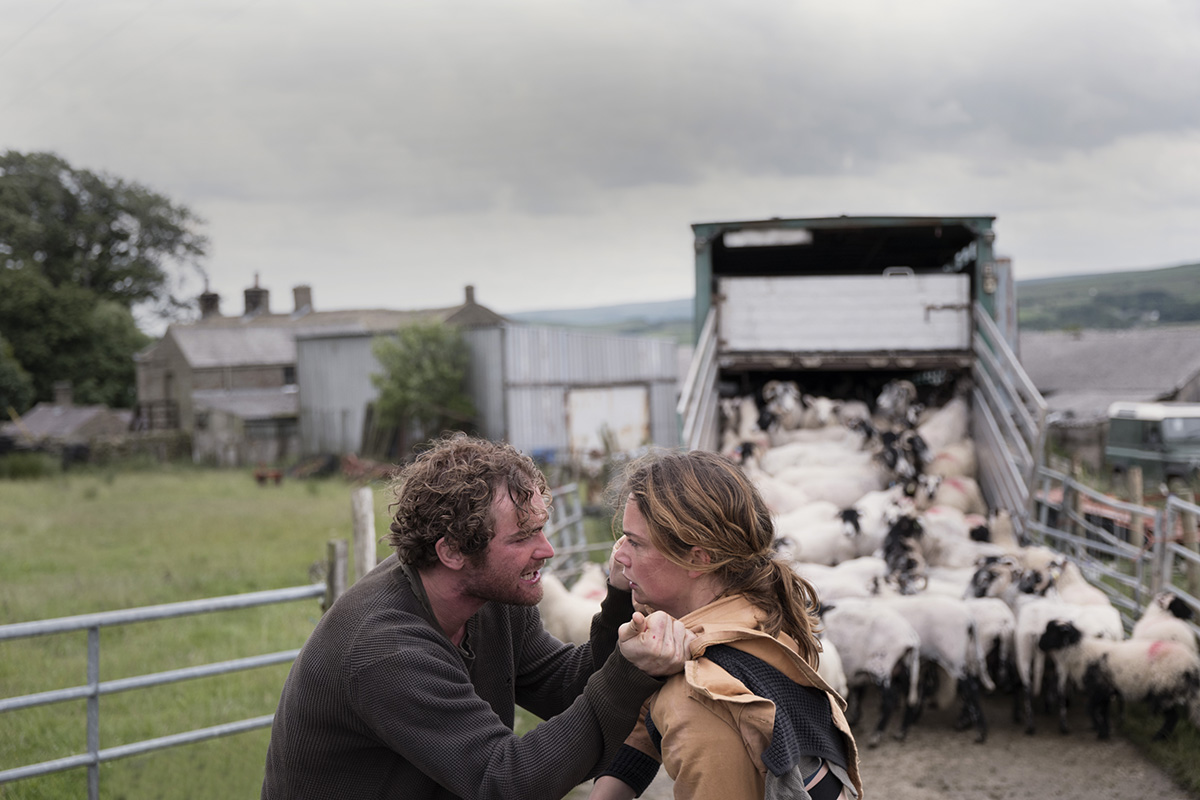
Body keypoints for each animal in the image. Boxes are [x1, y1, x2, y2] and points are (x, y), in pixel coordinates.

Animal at [1036, 618, 1200, 743]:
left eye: (1052, 633)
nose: (1039, 644)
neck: (1082, 653)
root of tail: (1192, 665)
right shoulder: (1107, 690)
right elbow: (1103, 711)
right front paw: (1105, 731)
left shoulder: (1099, 689)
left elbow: (1091, 709)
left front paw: (1100, 731)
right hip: (1169, 692)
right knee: (1173, 717)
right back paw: (1162, 738)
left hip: (1164, 689)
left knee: (1172, 717)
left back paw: (1158, 738)